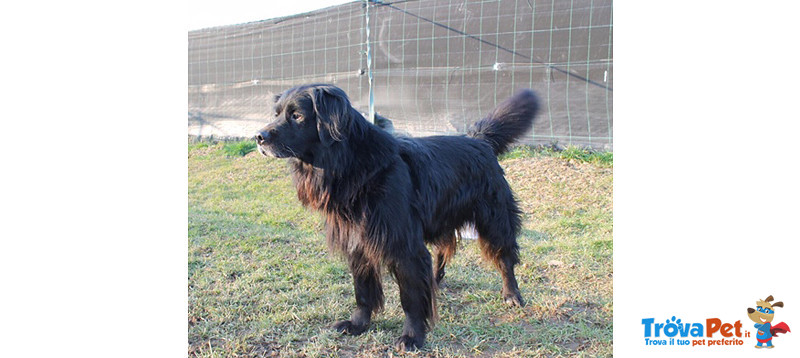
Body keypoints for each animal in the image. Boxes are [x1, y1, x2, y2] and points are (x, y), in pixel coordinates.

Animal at [258, 84, 536, 350]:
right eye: (276, 114)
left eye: (297, 115)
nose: (259, 137)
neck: (352, 165)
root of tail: (479, 141)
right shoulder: (357, 243)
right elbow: (363, 290)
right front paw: (358, 324)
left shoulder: (404, 246)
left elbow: (410, 297)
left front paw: (413, 336)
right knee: (442, 251)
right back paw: (435, 282)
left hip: (495, 220)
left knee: (505, 259)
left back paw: (512, 294)